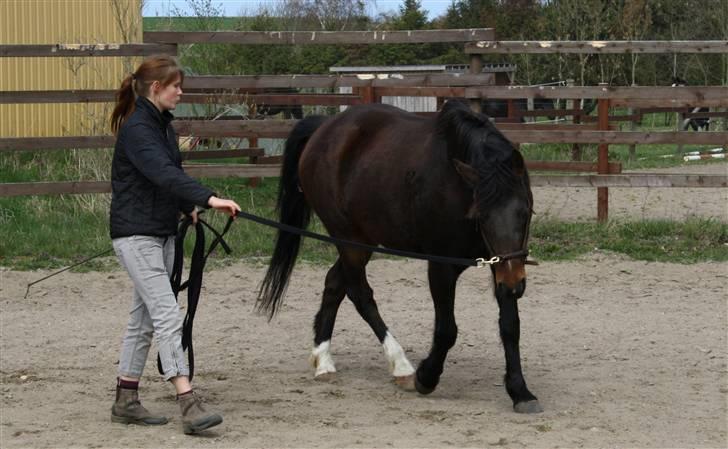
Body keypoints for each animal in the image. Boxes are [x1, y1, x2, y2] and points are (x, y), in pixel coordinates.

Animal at [256, 100, 540, 412]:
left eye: (524, 211)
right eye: (482, 215)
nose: (515, 285)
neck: (455, 186)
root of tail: (324, 129)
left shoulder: (500, 264)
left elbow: (510, 326)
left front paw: (521, 391)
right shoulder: (442, 266)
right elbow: (446, 330)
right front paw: (426, 377)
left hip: (363, 240)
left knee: (334, 284)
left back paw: (323, 360)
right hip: (349, 240)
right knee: (360, 294)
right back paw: (401, 365)